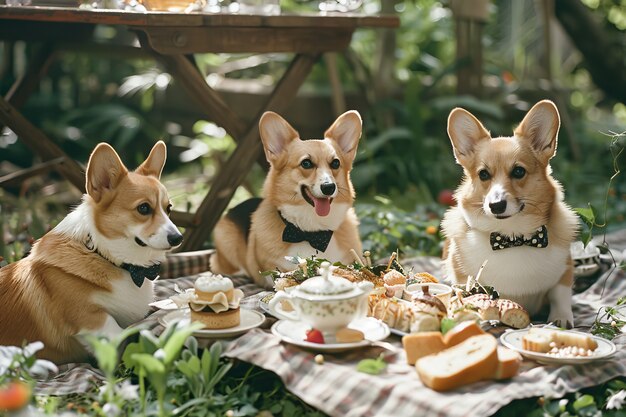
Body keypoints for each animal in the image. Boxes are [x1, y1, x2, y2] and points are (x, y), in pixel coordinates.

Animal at [0, 141, 182, 360]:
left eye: (168, 208)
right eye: (144, 208)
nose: (178, 238)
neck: (104, 254)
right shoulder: (93, 321)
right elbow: (123, 335)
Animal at [442, 99, 576, 326]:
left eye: (519, 171)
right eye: (483, 174)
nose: (496, 205)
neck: (512, 236)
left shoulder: (565, 268)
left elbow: (560, 294)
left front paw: (561, 317)